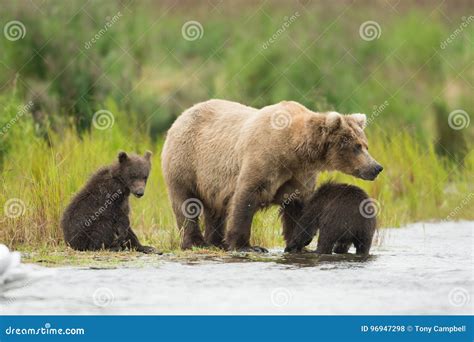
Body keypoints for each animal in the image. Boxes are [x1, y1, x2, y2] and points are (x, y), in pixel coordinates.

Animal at [161, 99, 384, 251]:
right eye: (356, 147)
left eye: (365, 145)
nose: (376, 167)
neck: (294, 151)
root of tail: (182, 115)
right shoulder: (262, 158)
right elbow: (245, 198)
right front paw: (247, 245)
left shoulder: (299, 175)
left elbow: (298, 209)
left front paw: (296, 242)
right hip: (186, 161)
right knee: (186, 202)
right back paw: (196, 242)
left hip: (210, 179)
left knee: (214, 209)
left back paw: (216, 242)